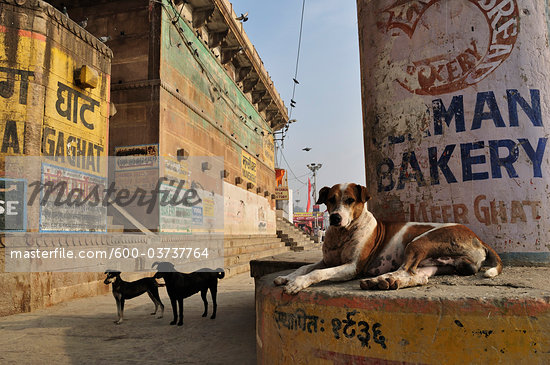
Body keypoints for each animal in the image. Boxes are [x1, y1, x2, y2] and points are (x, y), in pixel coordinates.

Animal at [276, 182, 504, 292]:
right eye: (330, 199)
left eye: (350, 200)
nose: (334, 218)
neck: (342, 234)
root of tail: (478, 238)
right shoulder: (326, 260)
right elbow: (305, 267)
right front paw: (288, 277)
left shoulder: (352, 267)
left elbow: (316, 273)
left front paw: (297, 283)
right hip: (439, 264)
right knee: (417, 276)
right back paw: (388, 281)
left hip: (419, 242)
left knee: (406, 269)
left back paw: (379, 280)